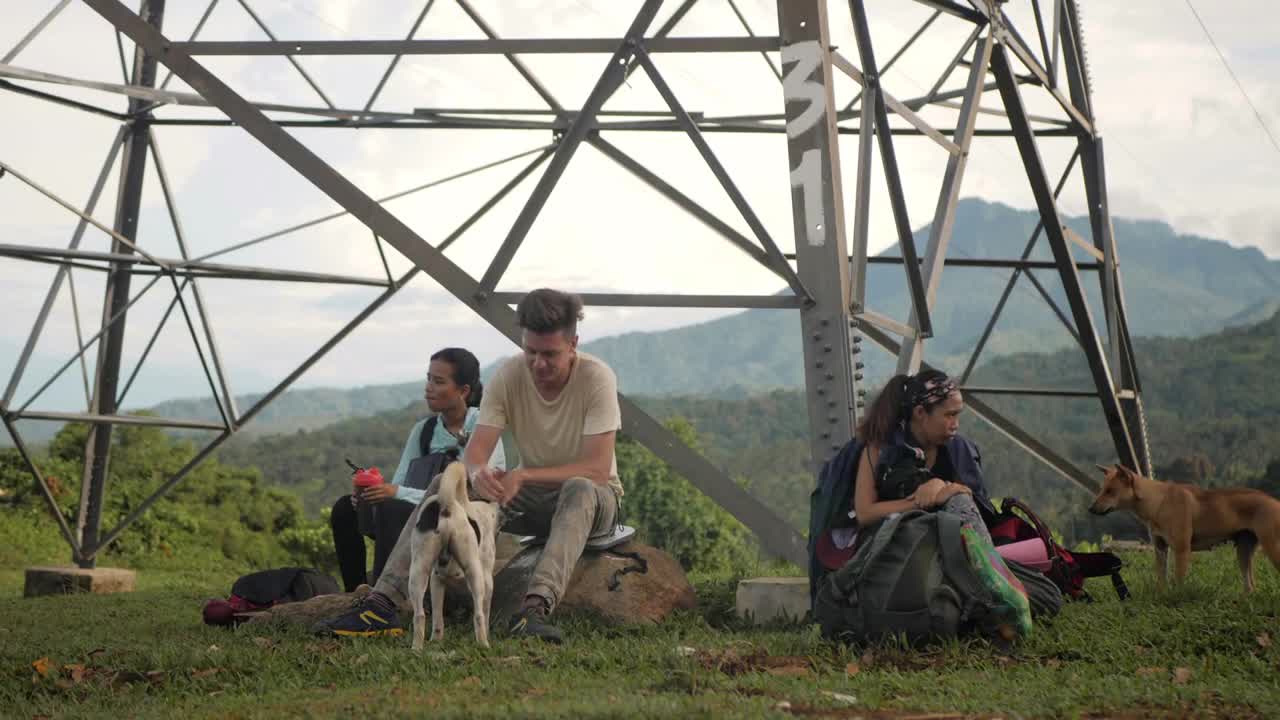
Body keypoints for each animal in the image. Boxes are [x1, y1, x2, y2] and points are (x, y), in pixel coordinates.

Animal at [407, 458, 496, 650]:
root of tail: (447, 506)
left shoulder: (437, 580)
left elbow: (438, 618)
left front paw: (436, 640)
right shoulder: (487, 579)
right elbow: (485, 612)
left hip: (419, 571)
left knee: (420, 615)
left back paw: (418, 648)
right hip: (474, 572)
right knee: (478, 615)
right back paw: (483, 644)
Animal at [1090, 461, 1280, 591]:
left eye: (1110, 491)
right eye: (1102, 489)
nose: (1090, 509)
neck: (1158, 501)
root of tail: (1274, 501)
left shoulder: (1181, 549)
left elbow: (1179, 579)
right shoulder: (1160, 549)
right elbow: (1162, 578)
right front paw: (1162, 595)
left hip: (1271, 546)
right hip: (1243, 551)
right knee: (1250, 586)